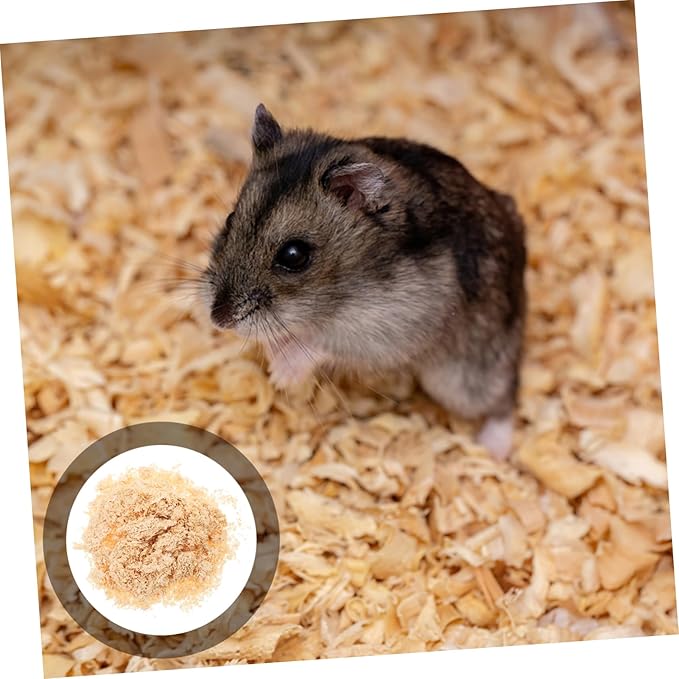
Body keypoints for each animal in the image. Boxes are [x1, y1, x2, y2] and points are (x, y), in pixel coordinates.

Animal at [203, 104, 527, 460]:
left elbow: (321, 343)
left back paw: (492, 450)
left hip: (465, 376)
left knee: (505, 396)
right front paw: (274, 355)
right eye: (230, 219)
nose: (218, 320)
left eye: (293, 255)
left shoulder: (391, 325)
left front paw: (281, 375)